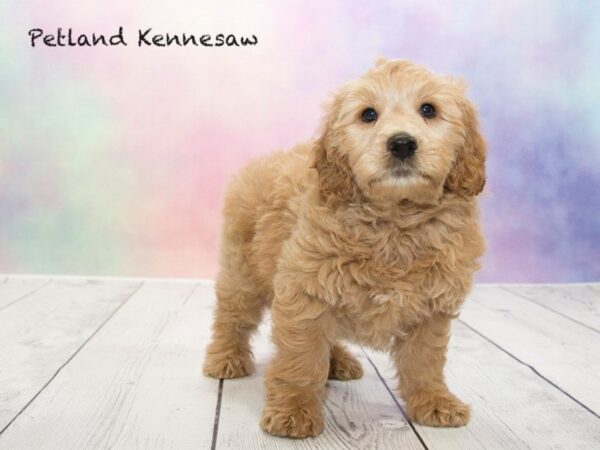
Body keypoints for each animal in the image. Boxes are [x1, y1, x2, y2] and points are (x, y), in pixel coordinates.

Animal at [204, 58, 486, 438]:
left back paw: (338, 361)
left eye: (429, 110)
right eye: (368, 115)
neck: (394, 221)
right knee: (232, 317)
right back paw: (225, 358)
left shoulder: (430, 307)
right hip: (243, 273)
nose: (401, 144)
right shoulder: (304, 292)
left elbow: (424, 360)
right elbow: (302, 359)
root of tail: (262, 160)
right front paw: (294, 412)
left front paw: (434, 401)